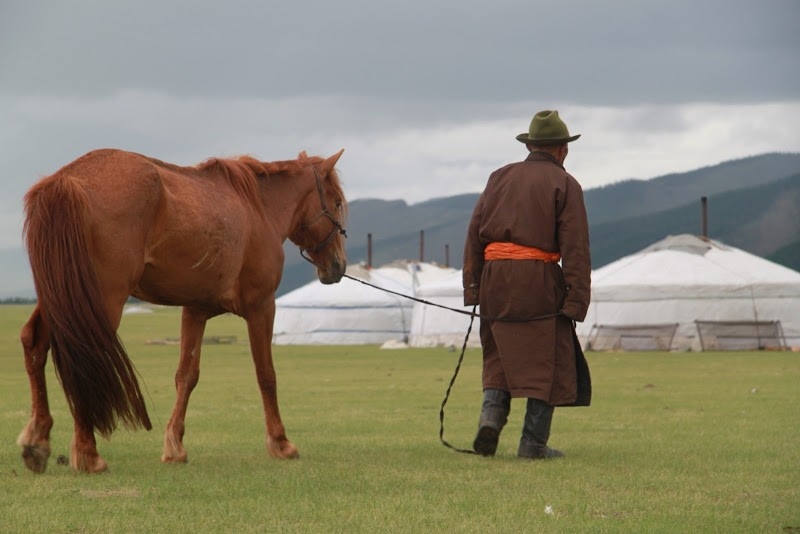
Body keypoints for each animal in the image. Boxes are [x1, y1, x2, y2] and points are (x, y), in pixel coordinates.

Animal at [16, 147, 346, 474]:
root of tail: (67, 179)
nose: (339, 265)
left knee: (34, 342)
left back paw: (38, 440)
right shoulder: (261, 306)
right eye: (338, 202)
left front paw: (174, 446)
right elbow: (266, 374)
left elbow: (186, 376)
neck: (258, 209)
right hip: (99, 301)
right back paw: (88, 453)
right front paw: (280, 443)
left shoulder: (195, 311)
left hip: (61, 296)